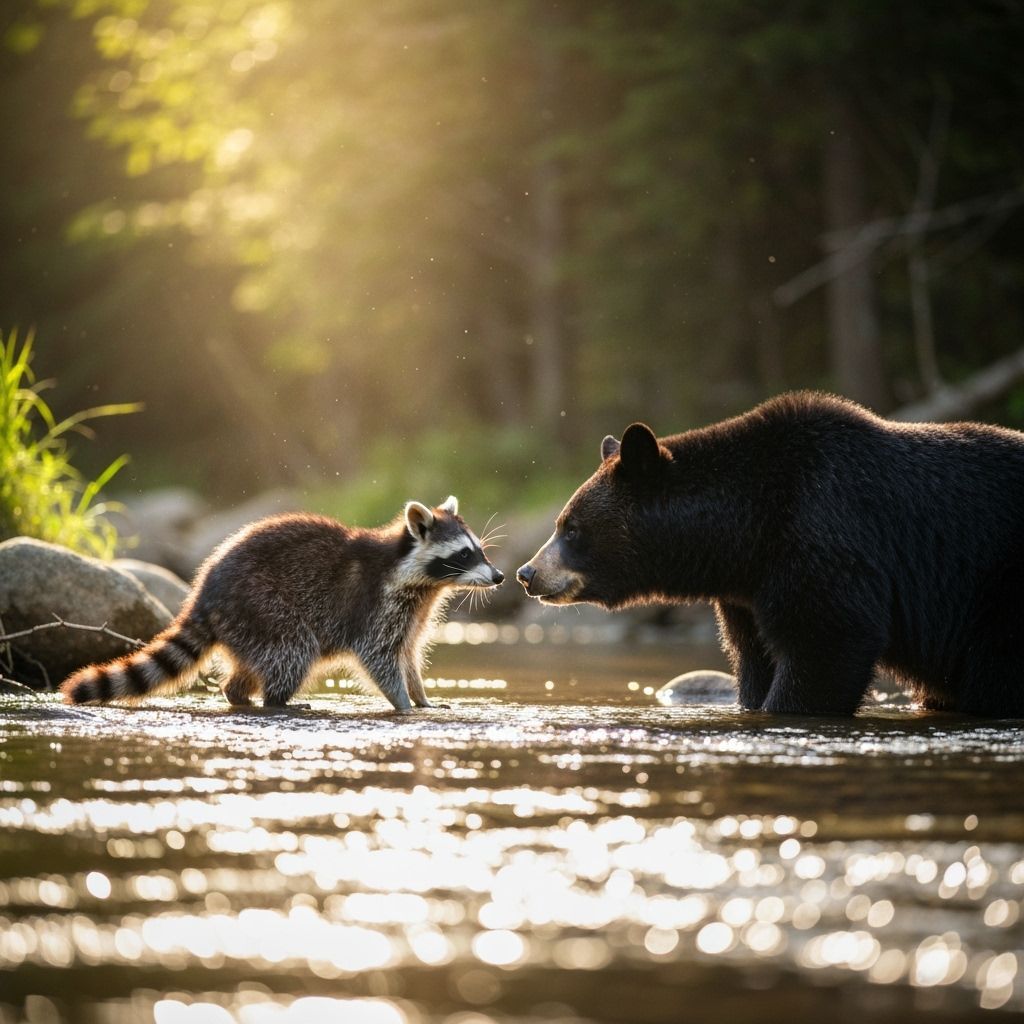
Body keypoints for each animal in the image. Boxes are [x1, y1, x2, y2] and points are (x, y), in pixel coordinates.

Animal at [61, 496, 503, 711]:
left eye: (480, 550)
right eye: (464, 555)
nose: (499, 576)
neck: (420, 579)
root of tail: (204, 594)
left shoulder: (413, 613)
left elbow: (408, 655)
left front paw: (420, 695)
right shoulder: (377, 604)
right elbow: (378, 657)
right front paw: (403, 703)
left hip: (246, 625)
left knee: (252, 667)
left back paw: (239, 693)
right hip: (262, 606)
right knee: (293, 649)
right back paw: (277, 701)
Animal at [516, 391, 1024, 718]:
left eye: (572, 528)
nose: (528, 572)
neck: (746, 534)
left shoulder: (824, 535)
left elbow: (827, 638)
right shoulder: (748, 591)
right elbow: (754, 658)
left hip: (994, 591)